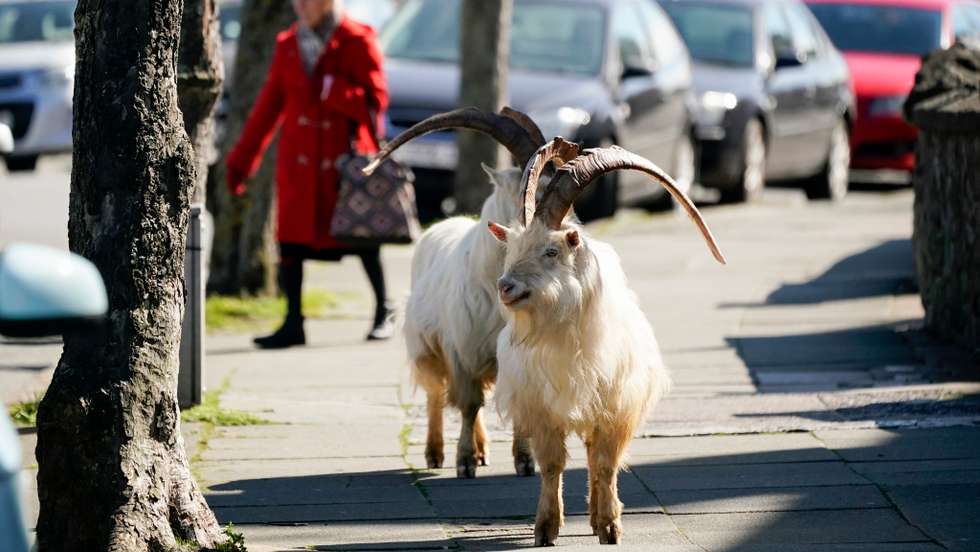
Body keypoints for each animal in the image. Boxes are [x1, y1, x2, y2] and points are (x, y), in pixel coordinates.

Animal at [365, 107, 546, 478]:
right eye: (530, 192)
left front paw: (524, 461)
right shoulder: (461, 347)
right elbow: (468, 404)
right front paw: (464, 462)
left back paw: (483, 450)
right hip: (426, 347)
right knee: (437, 394)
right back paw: (435, 453)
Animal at [486, 138, 726, 545]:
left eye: (552, 251)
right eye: (512, 250)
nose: (506, 287)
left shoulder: (617, 407)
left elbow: (605, 463)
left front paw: (611, 526)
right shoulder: (542, 410)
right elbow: (552, 464)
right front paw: (546, 528)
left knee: (596, 456)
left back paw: (599, 518)